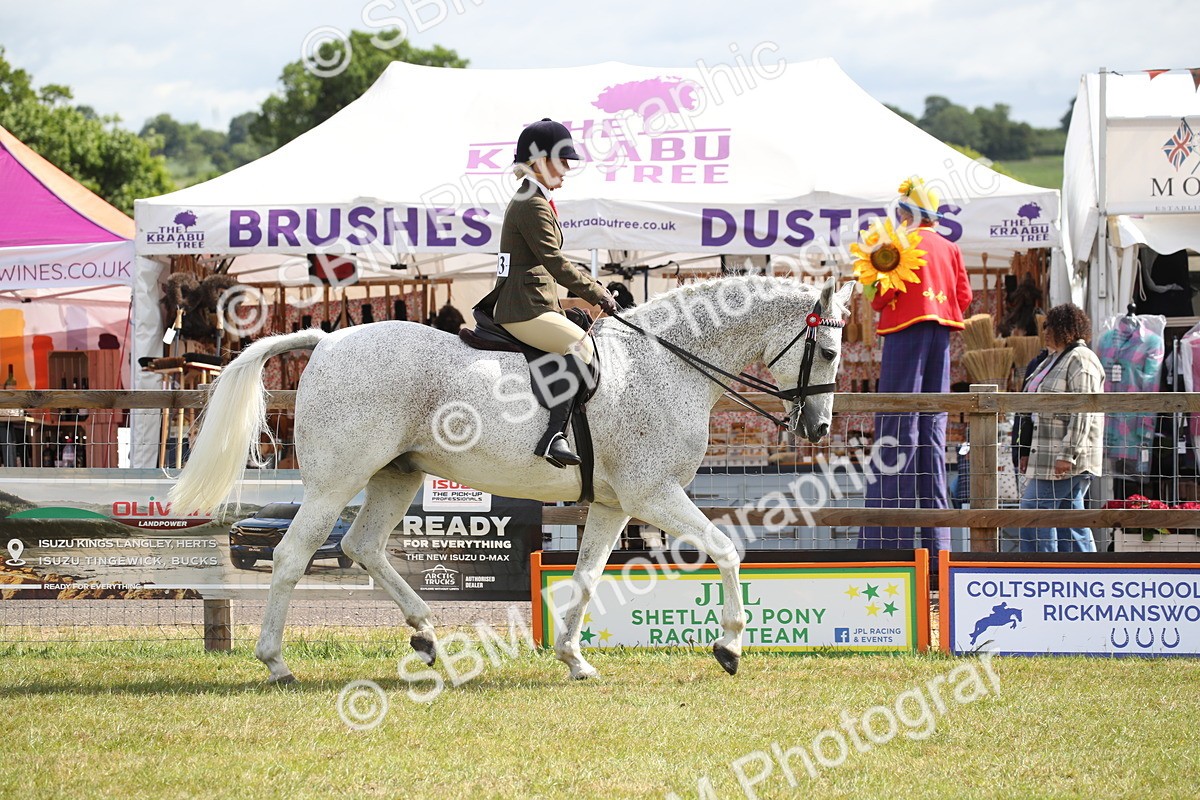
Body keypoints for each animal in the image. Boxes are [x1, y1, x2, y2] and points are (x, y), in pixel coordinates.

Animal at [170, 275, 854, 683]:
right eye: (826, 352)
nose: (818, 427)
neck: (665, 362)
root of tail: (328, 342)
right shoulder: (654, 494)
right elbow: (728, 551)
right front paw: (731, 647)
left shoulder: (614, 504)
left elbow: (586, 577)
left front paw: (575, 660)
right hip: (336, 481)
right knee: (293, 554)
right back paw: (276, 663)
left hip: (396, 476)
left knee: (361, 546)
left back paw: (426, 637)